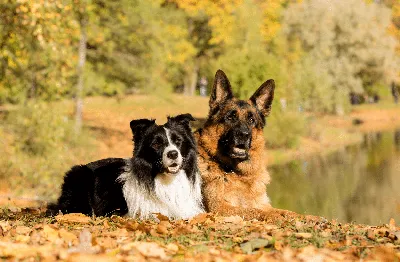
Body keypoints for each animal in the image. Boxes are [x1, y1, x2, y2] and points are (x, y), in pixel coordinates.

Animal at [195, 69, 302, 221]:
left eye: (251, 120)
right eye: (230, 117)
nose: (244, 135)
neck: (239, 174)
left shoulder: (263, 204)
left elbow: (287, 212)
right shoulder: (221, 208)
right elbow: (255, 211)